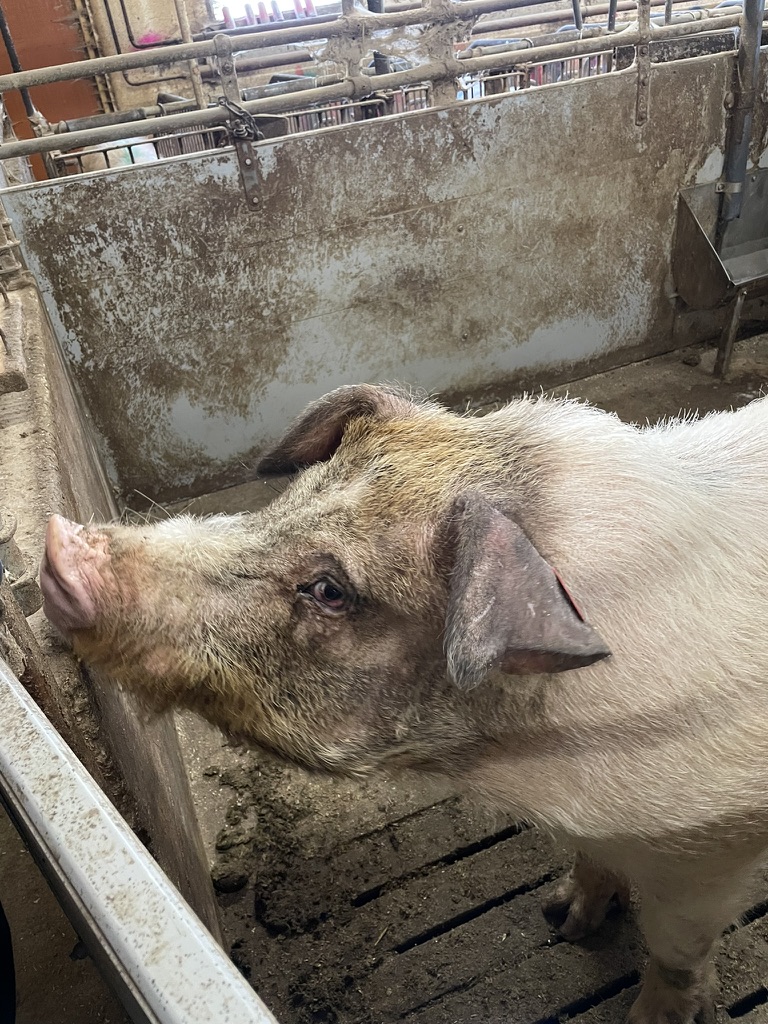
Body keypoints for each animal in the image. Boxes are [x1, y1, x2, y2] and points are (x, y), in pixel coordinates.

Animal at [40, 383, 768, 1024]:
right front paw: (560, 920)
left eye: (330, 590)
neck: (532, 762)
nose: (57, 542)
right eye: (286, 503)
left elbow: (677, 948)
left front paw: (644, 1010)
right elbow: (594, 864)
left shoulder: (711, 848)